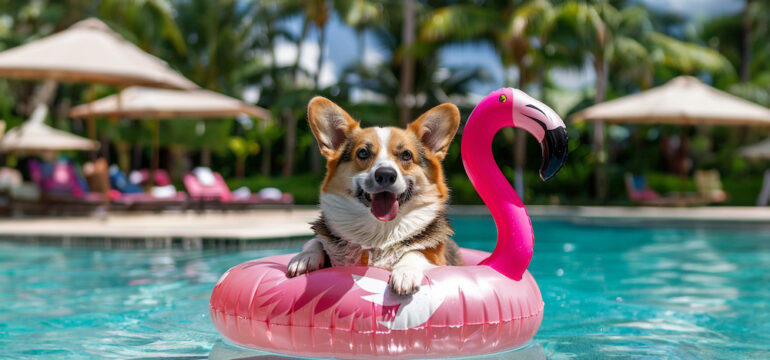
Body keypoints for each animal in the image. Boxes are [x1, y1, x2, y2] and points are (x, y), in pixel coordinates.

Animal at [286, 96, 462, 296]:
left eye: (406, 155)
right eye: (363, 152)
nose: (385, 174)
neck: (379, 231)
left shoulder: (437, 258)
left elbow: (416, 253)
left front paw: (405, 272)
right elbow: (316, 241)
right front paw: (303, 257)